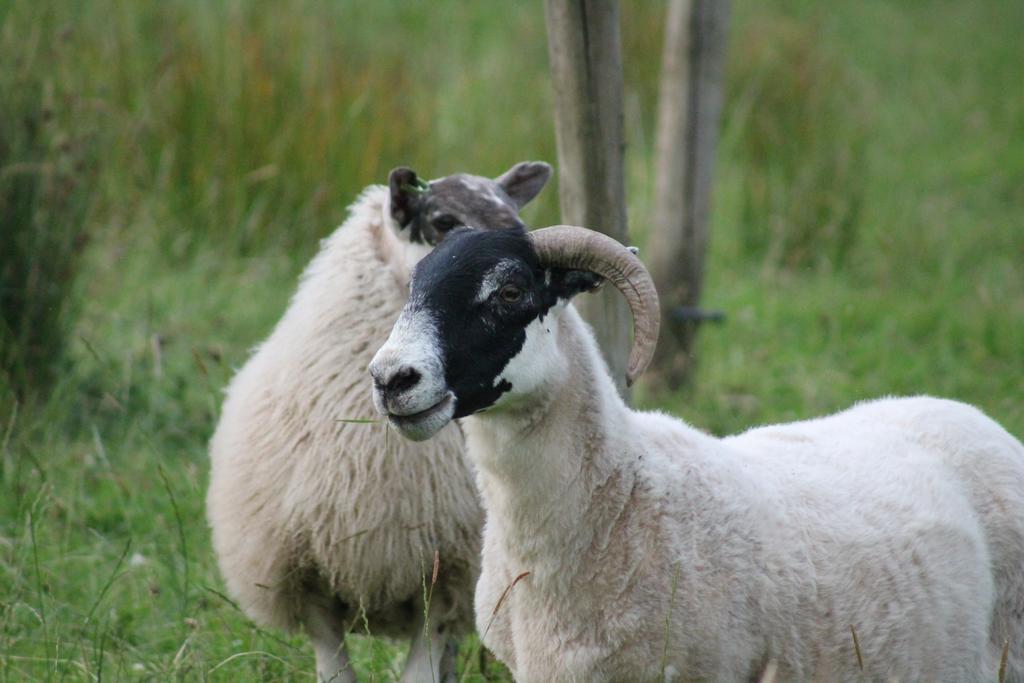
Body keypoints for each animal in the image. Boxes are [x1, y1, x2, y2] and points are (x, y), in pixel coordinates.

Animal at [205, 161, 552, 683]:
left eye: (515, 214)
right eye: (445, 221)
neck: (380, 463)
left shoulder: (446, 579)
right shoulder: (308, 581)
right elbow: (335, 672)